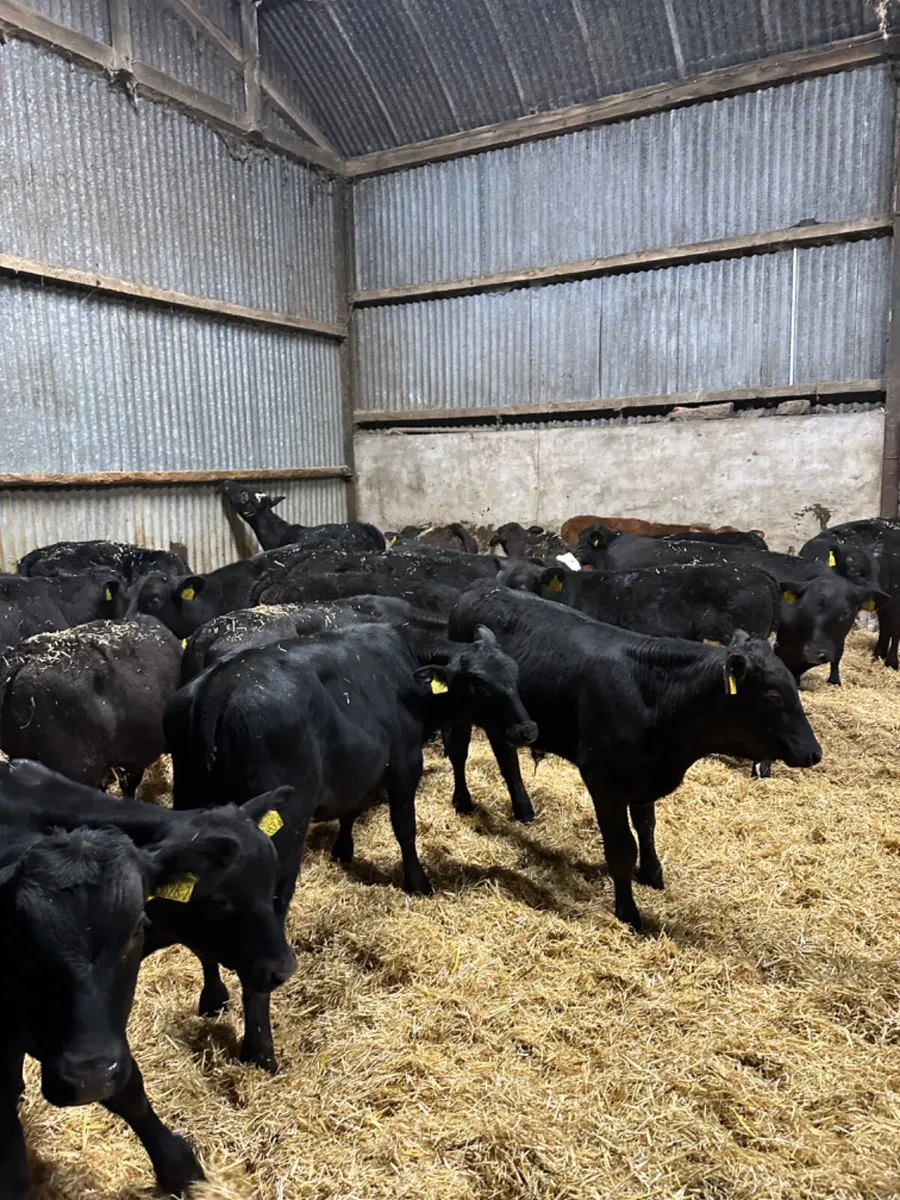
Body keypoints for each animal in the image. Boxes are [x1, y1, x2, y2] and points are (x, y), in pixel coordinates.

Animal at [447, 583, 821, 931]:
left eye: (793, 685)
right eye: (773, 694)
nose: (814, 752)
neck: (654, 694)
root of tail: (482, 588)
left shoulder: (644, 773)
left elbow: (647, 826)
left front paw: (652, 873)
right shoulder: (603, 780)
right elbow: (622, 847)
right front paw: (628, 912)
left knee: (505, 753)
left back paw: (523, 807)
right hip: (461, 710)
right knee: (458, 752)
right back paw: (463, 801)